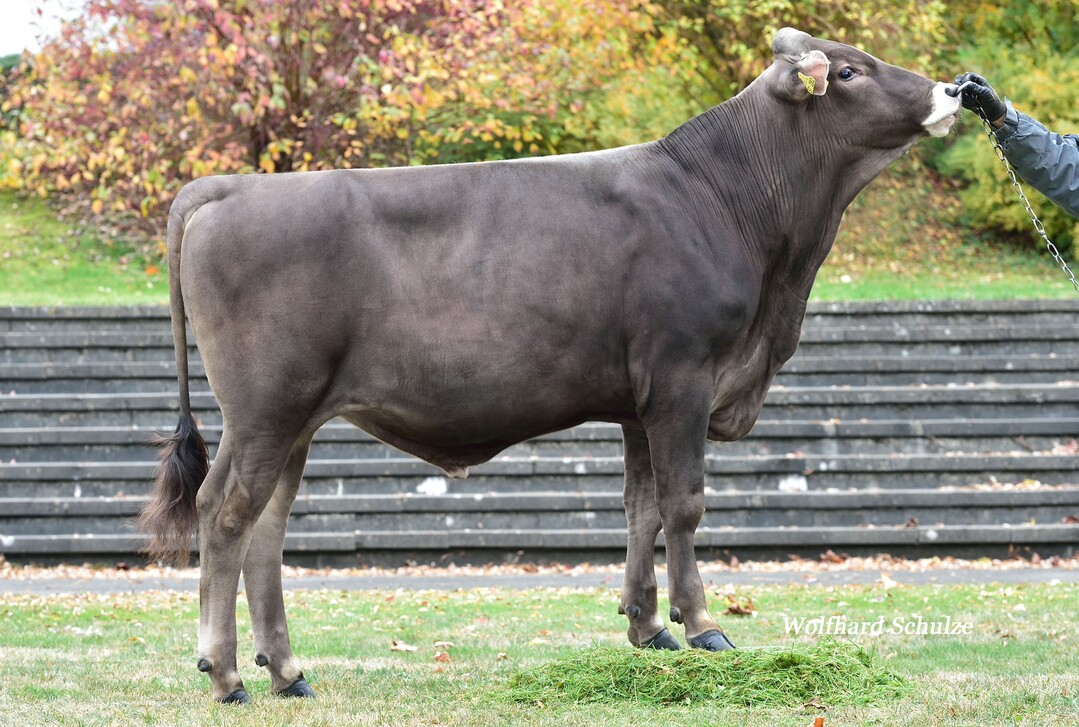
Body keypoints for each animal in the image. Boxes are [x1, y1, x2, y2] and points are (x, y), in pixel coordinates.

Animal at [139, 27, 962, 703]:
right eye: (849, 71)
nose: (953, 90)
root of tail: (226, 186)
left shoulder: (639, 401)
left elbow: (641, 507)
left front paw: (645, 628)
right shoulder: (684, 377)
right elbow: (686, 504)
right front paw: (702, 625)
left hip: (292, 420)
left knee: (266, 527)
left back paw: (287, 670)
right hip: (266, 408)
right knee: (227, 514)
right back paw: (227, 674)